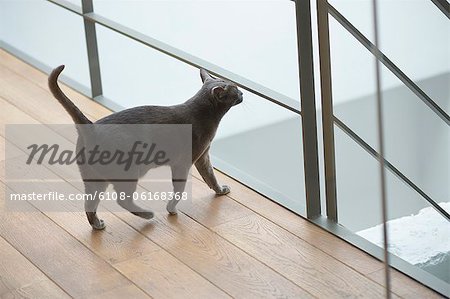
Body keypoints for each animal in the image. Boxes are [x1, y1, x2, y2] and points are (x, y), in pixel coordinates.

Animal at [48, 65, 243, 230]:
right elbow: (181, 189)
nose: (242, 93)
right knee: (122, 200)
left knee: (89, 204)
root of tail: (91, 127)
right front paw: (171, 208)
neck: (204, 114)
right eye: (235, 89)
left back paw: (97, 224)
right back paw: (148, 214)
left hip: (95, 179)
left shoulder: (203, 156)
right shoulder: (184, 163)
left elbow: (211, 177)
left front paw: (220, 190)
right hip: (128, 172)